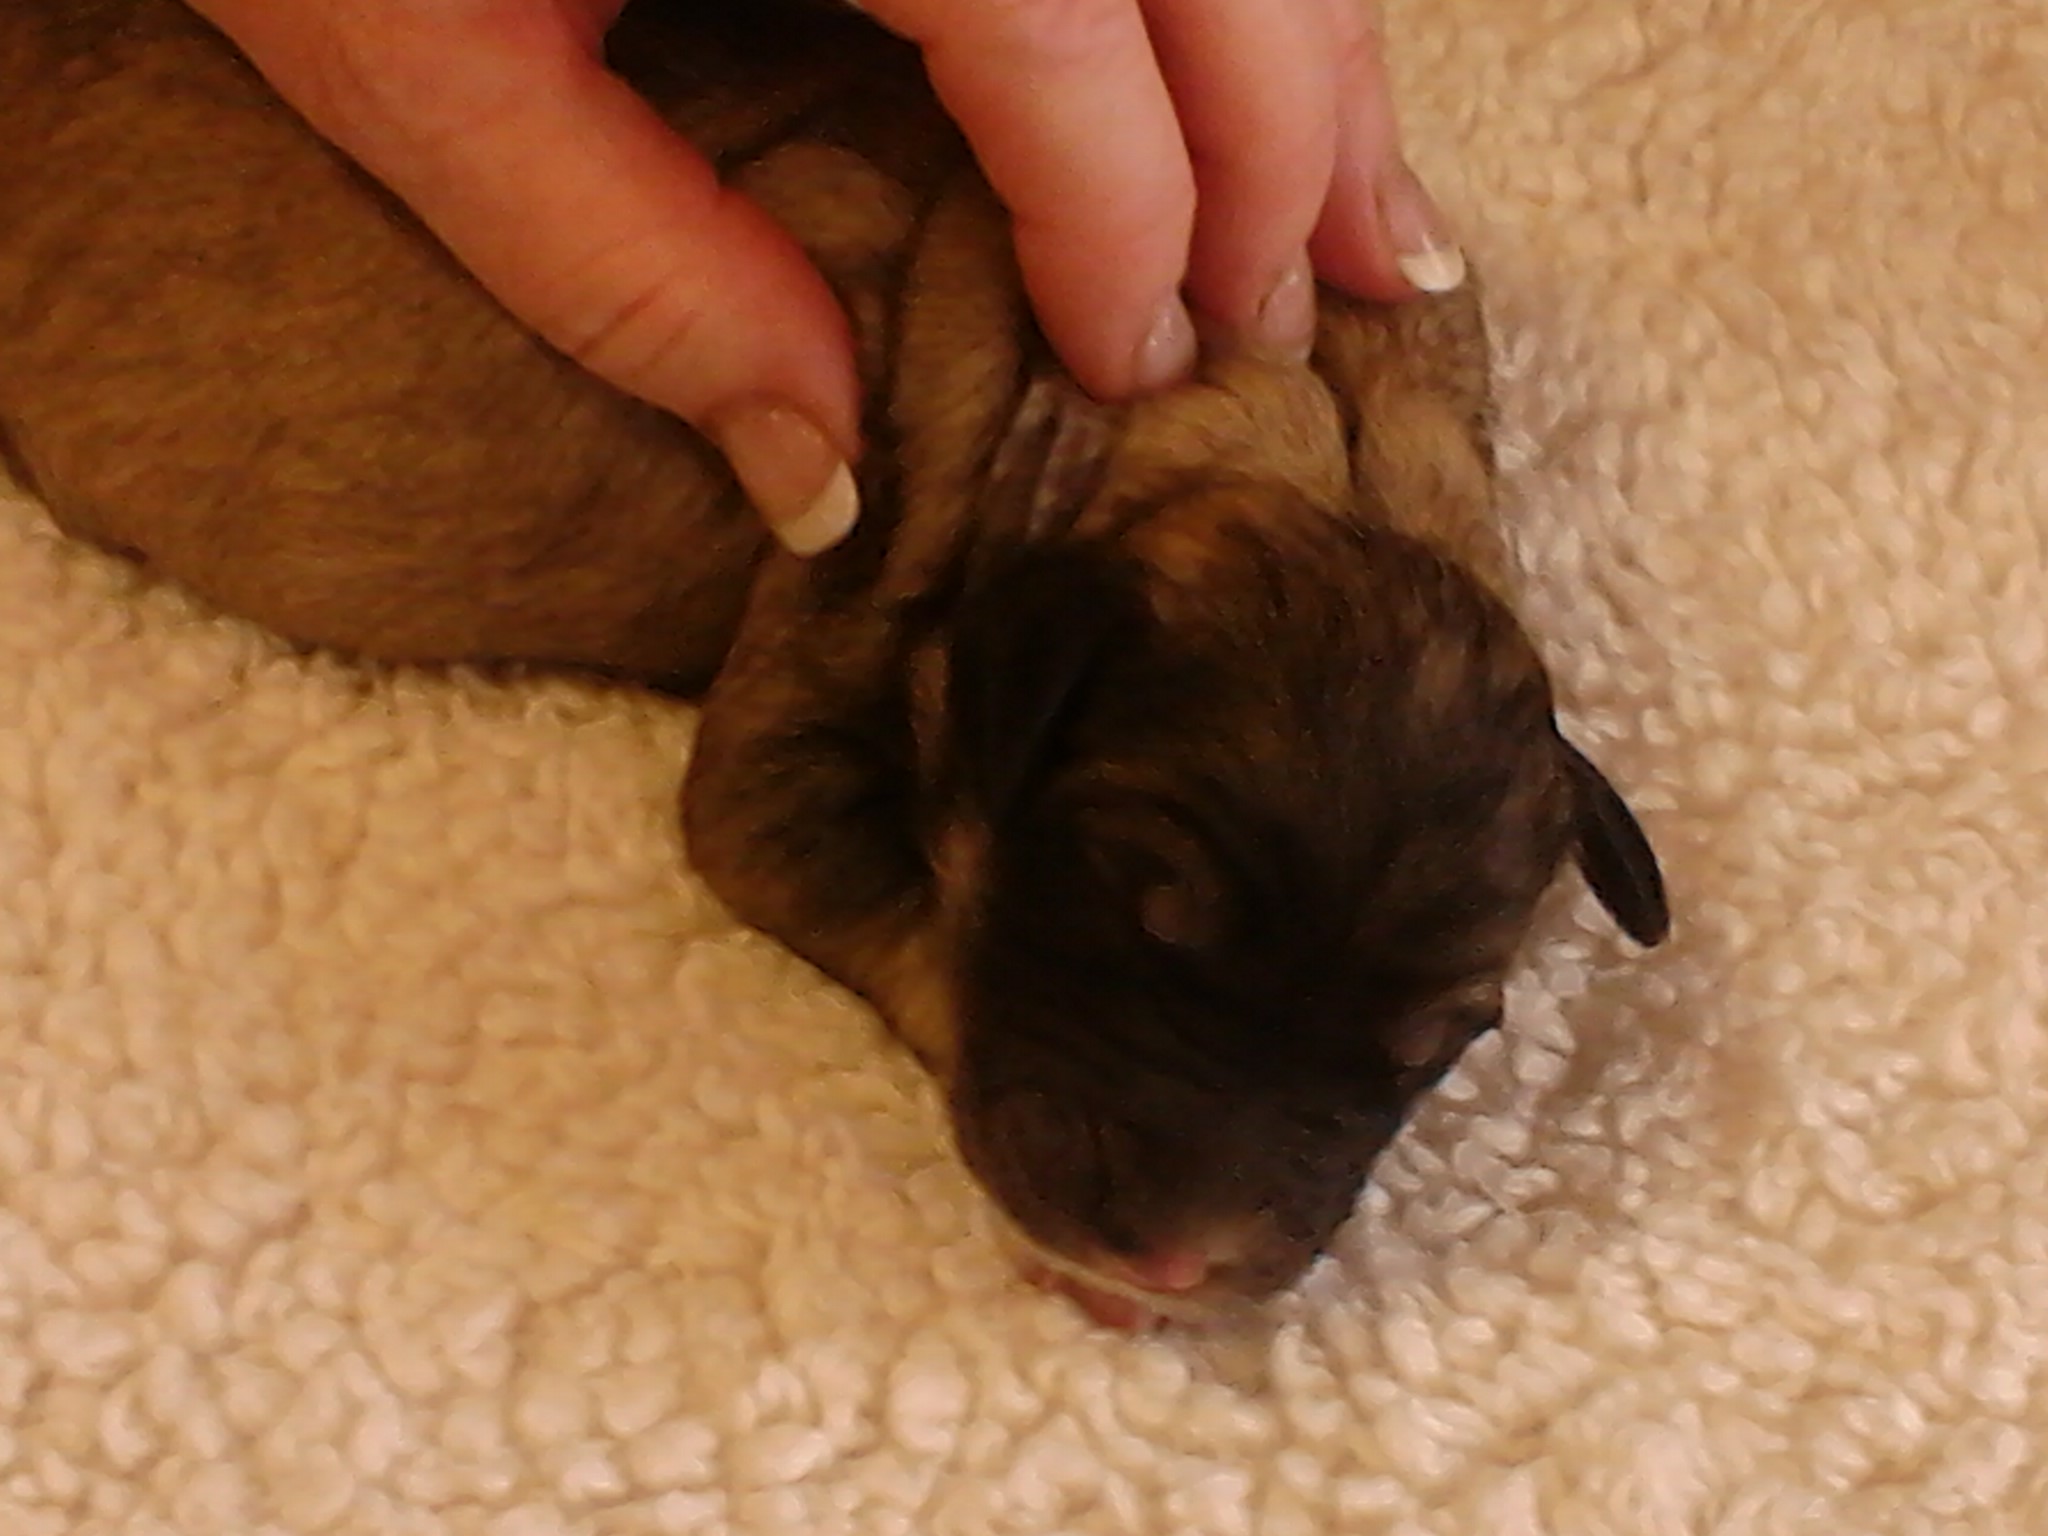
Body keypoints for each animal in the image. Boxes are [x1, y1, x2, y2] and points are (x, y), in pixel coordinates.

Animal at [0, 0, 1670, 1327]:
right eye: (1131, 903)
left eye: (1445, 1043)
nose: (1180, 1267)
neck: (1304, 428)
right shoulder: (826, 651)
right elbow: (912, 927)